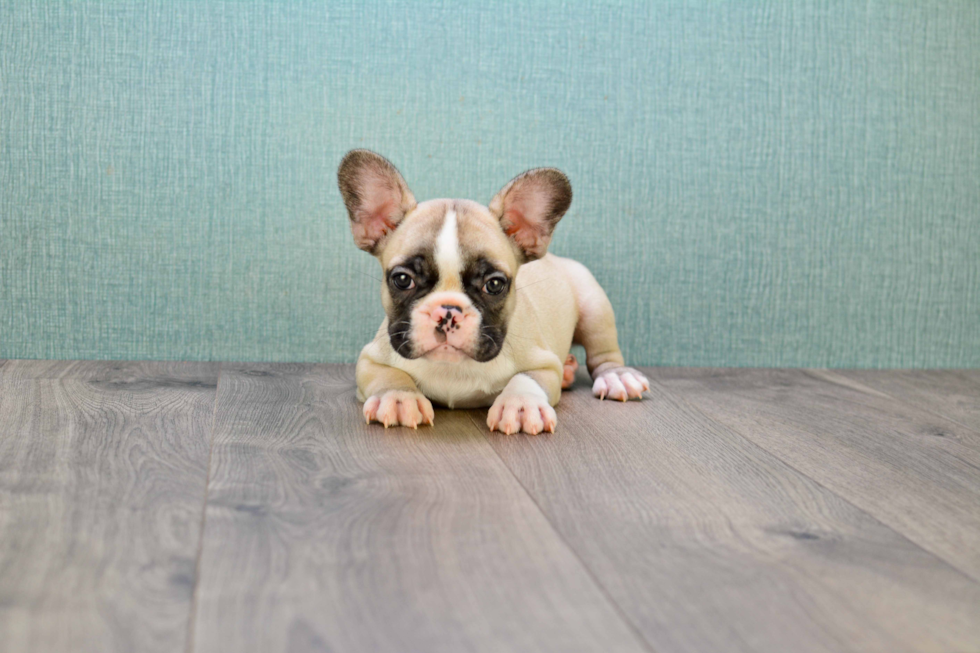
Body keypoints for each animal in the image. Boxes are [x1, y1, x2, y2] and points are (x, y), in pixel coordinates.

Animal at [338, 148, 652, 432]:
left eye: (495, 284)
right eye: (403, 280)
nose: (448, 312)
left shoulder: (545, 364)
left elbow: (526, 378)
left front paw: (521, 404)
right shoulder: (369, 359)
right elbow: (388, 376)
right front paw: (398, 398)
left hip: (594, 305)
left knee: (604, 354)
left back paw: (615, 376)